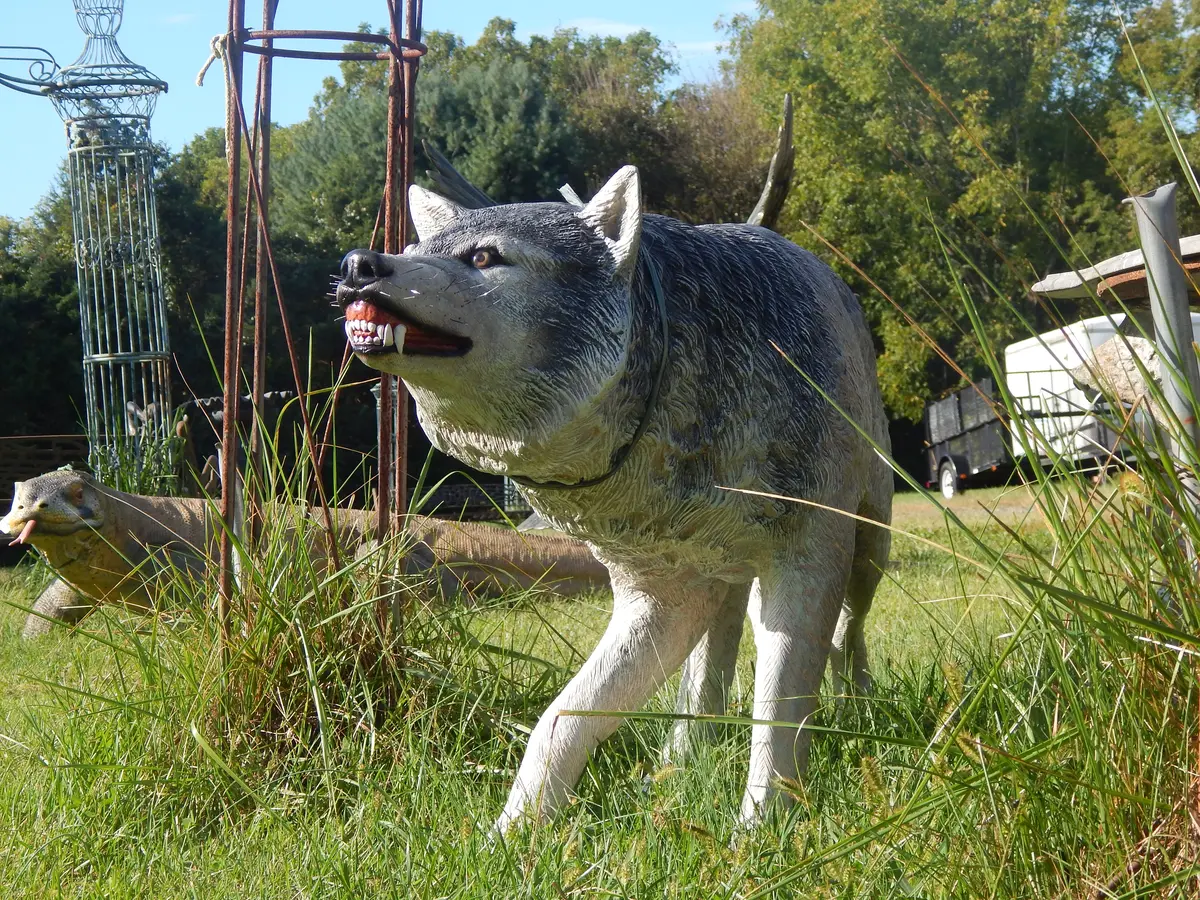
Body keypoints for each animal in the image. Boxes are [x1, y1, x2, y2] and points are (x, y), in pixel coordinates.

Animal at [336, 166, 892, 832]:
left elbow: (779, 705)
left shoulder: (805, 558)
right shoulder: (660, 594)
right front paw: (511, 833)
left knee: (847, 634)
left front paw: (759, 831)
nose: (359, 263)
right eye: (413, 249)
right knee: (713, 662)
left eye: (485, 257)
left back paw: (859, 712)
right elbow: (558, 721)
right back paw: (682, 758)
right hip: (725, 582)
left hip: (867, 550)